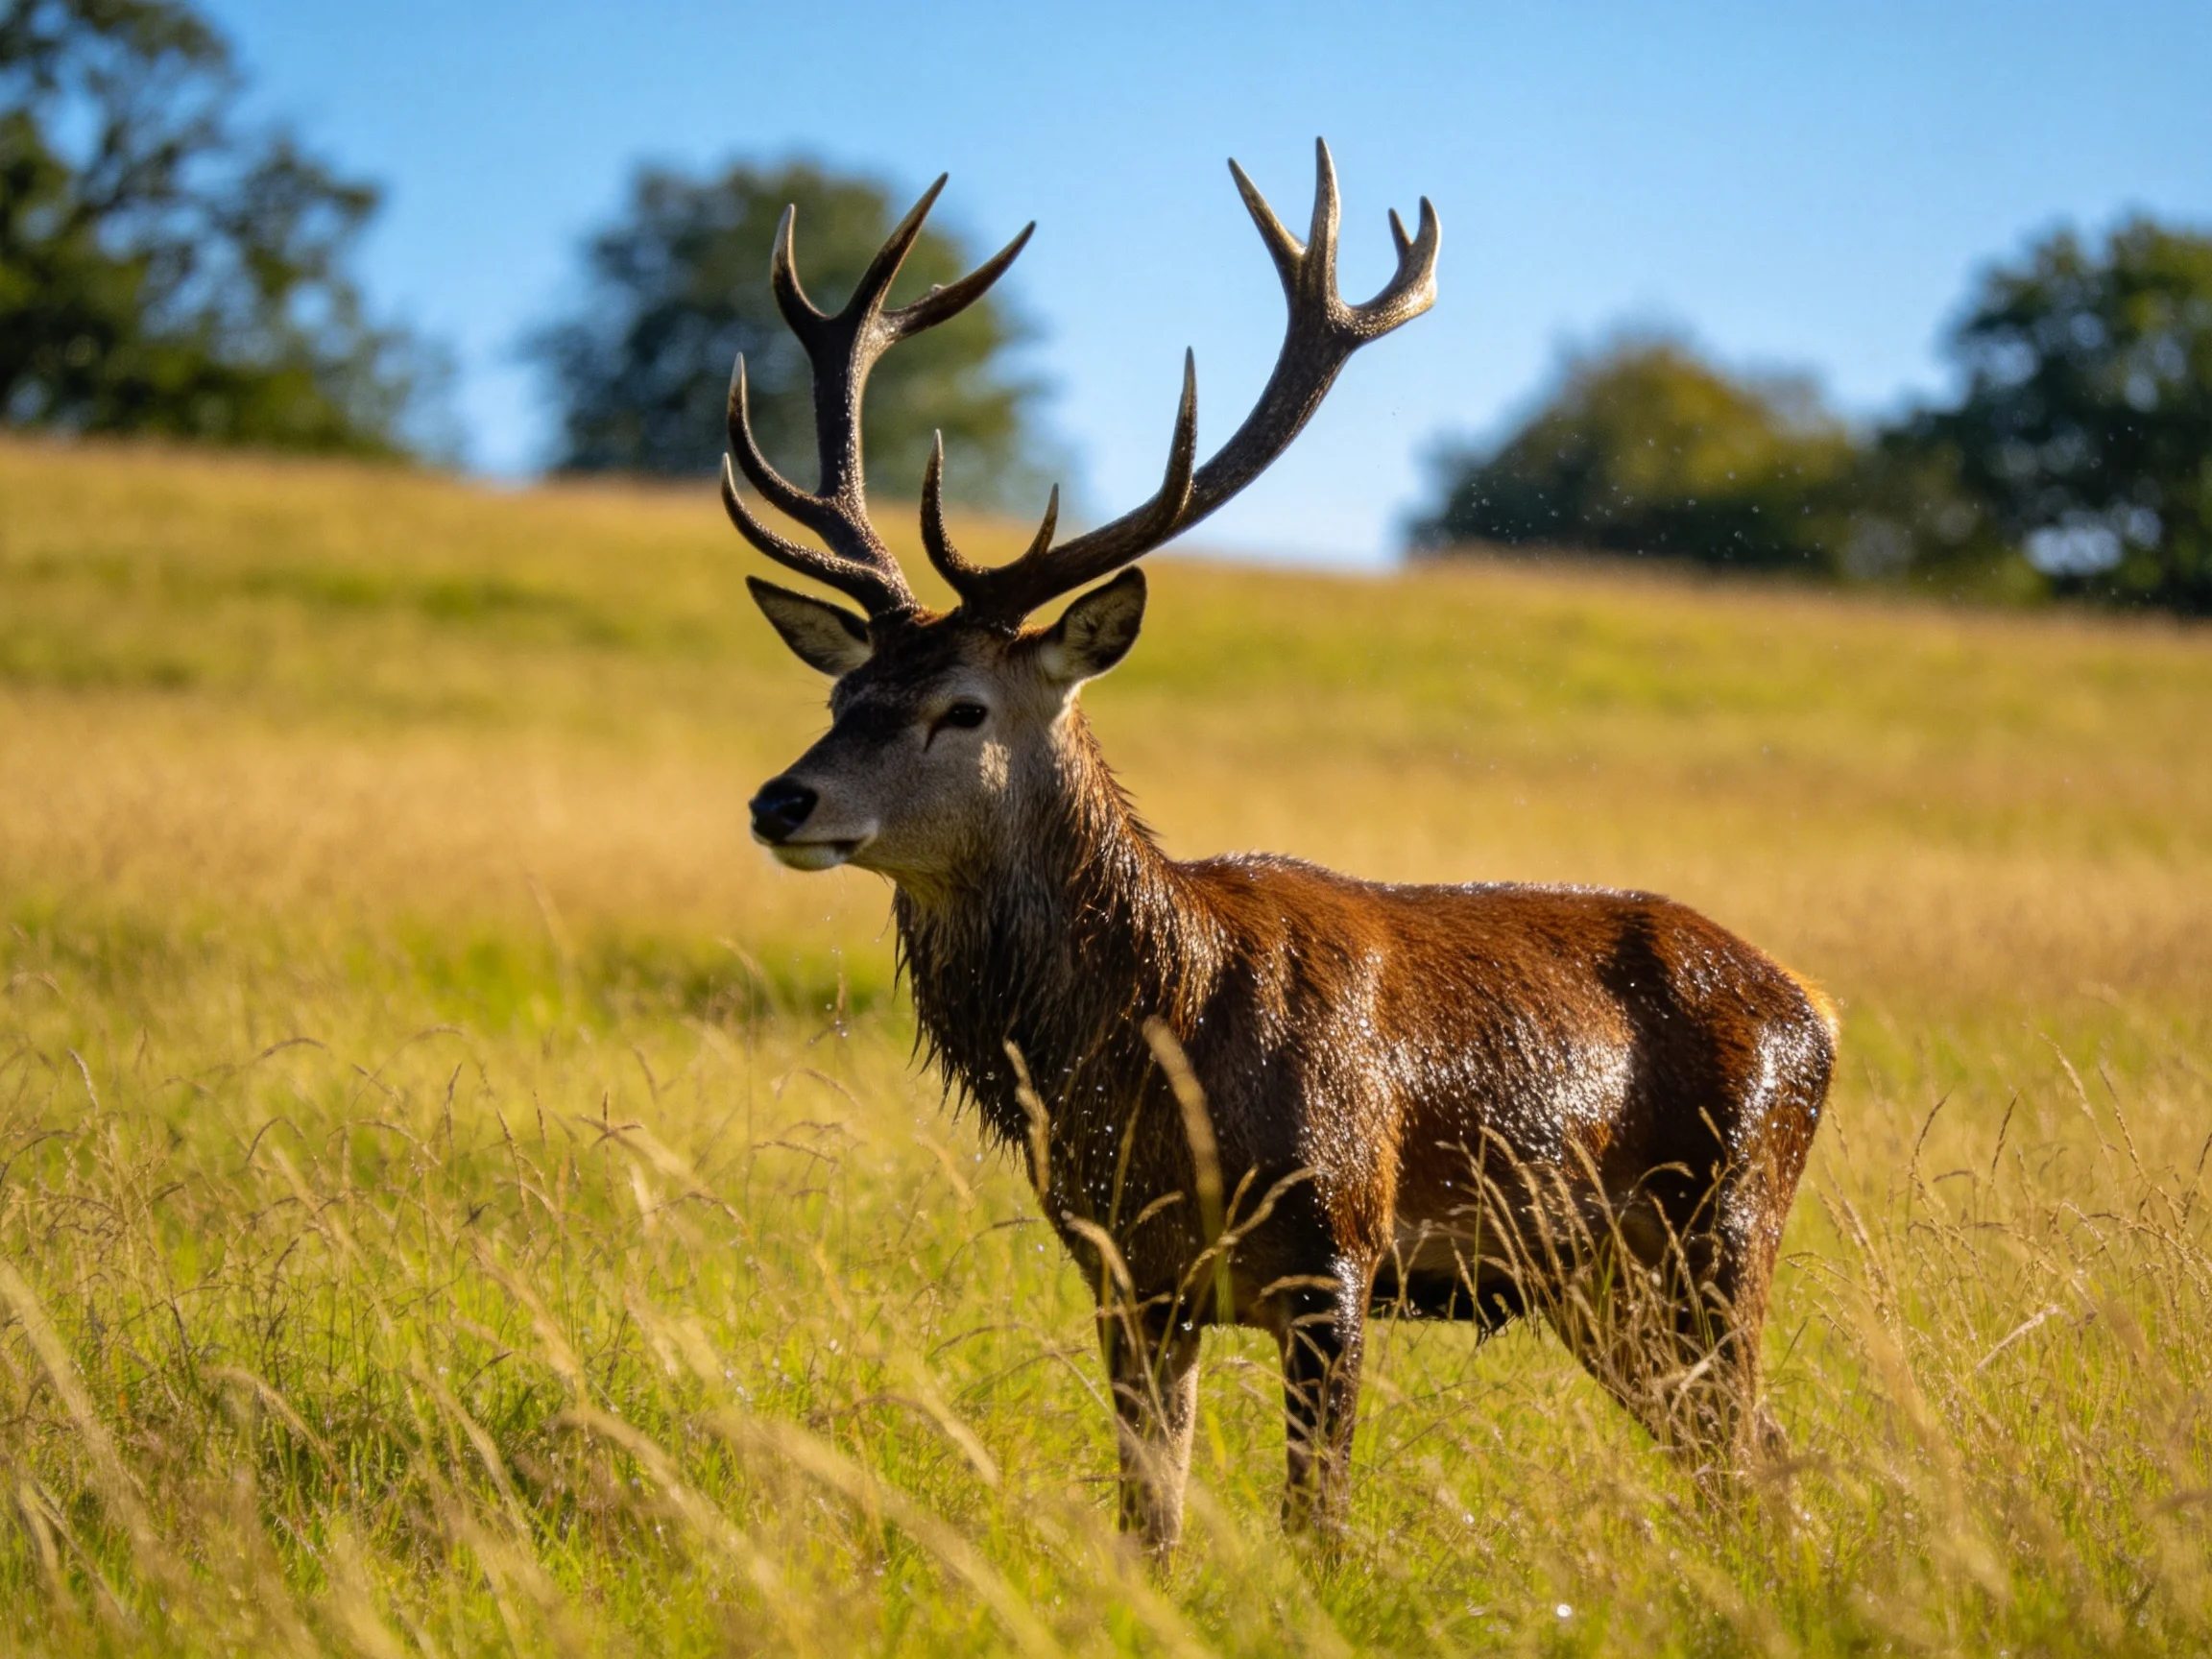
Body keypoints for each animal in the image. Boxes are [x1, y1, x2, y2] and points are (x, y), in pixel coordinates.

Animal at [722, 141, 1837, 1557]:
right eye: (840, 693)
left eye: (961, 707)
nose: (781, 802)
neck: (1159, 1052)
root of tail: (1817, 1008)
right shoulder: (1127, 1273)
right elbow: (1148, 1520)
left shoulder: (1336, 1251)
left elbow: (1319, 1524)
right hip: (1604, 1289)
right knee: (1748, 1463)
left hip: (1726, 1226)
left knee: (1755, 1452)